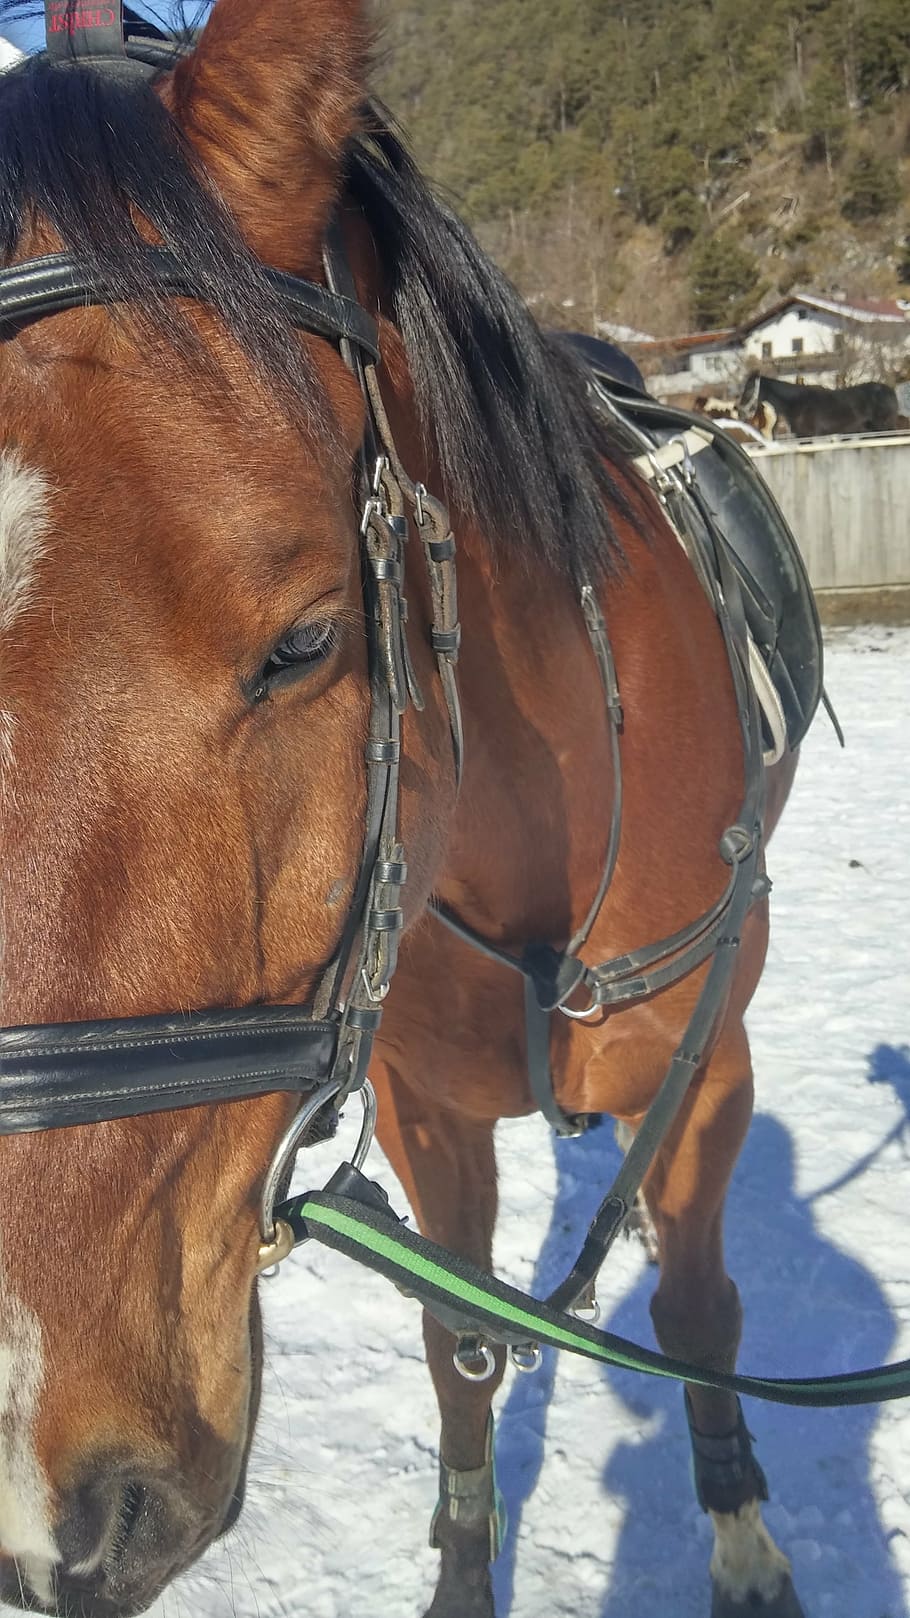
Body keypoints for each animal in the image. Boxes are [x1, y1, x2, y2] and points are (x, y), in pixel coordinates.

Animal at [0, 3, 806, 1618]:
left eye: (308, 641)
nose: (39, 1493)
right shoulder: (433, 1108)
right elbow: (462, 1342)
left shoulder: (709, 1076)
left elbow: (696, 1305)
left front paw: (743, 1535)